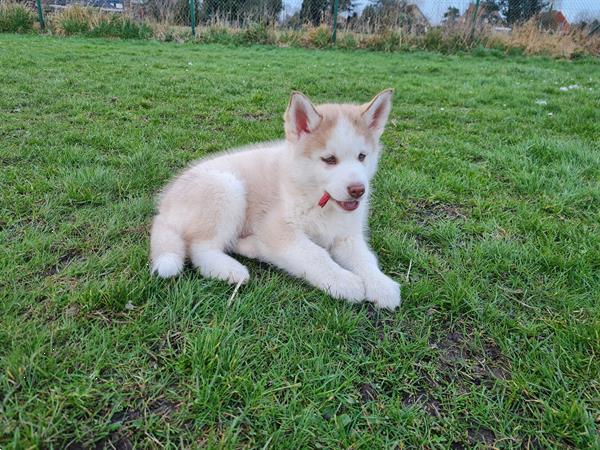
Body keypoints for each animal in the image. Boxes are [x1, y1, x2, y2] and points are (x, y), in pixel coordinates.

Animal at [152, 90, 400, 310]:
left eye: (362, 156)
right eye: (329, 159)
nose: (358, 190)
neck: (318, 202)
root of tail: (164, 207)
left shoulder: (347, 235)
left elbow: (365, 258)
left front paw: (382, 285)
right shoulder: (280, 230)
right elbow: (315, 255)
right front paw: (344, 281)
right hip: (227, 188)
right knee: (200, 249)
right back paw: (231, 269)